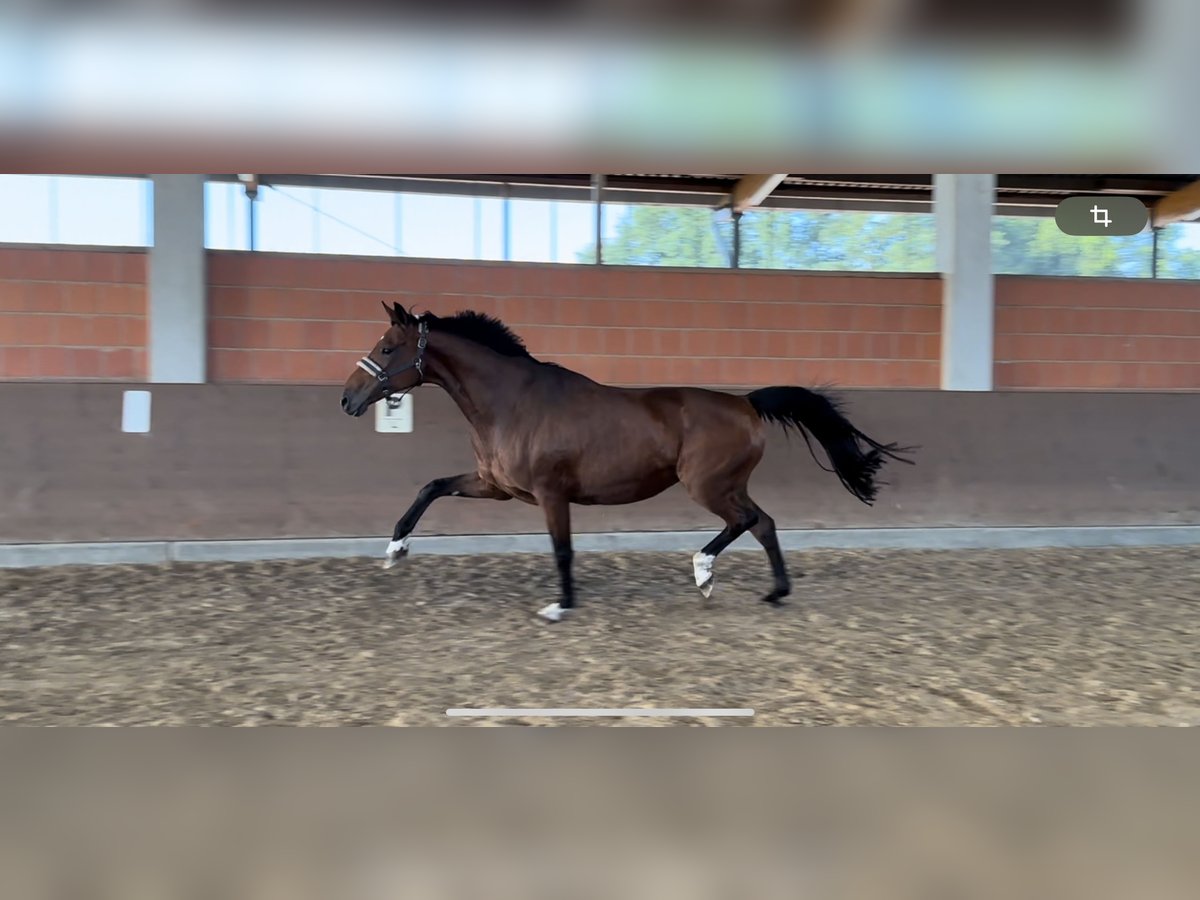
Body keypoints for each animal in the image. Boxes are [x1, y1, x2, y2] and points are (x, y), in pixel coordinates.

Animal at [338, 303, 907, 619]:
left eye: (386, 348)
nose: (347, 399)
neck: (512, 402)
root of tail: (746, 403)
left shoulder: (550, 494)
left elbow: (562, 550)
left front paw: (560, 606)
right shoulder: (494, 485)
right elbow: (431, 486)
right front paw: (395, 549)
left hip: (707, 485)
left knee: (748, 520)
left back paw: (704, 571)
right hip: (724, 485)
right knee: (763, 523)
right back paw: (770, 591)